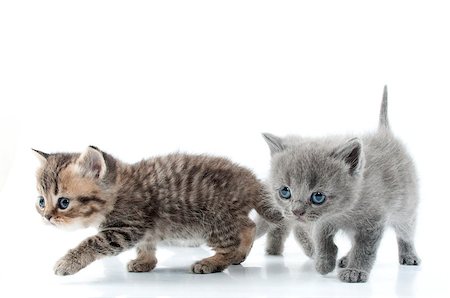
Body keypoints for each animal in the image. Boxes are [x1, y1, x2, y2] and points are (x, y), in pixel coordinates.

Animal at [33, 148, 284, 274]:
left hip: (215, 220)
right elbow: (146, 244)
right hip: (229, 216)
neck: (118, 189)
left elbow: (93, 242)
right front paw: (145, 261)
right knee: (249, 225)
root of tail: (251, 180)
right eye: (41, 201)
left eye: (63, 202)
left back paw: (214, 262)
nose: (47, 217)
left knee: (230, 243)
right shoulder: (144, 229)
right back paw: (240, 253)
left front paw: (67, 263)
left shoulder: (127, 227)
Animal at [258, 86, 420, 284]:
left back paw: (408, 255)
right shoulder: (321, 222)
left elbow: (364, 248)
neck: (343, 212)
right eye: (285, 192)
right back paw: (344, 258)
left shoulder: (373, 223)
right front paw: (324, 262)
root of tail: (384, 133)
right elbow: (323, 239)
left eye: (318, 196)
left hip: (406, 208)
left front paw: (355, 271)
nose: (296, 212)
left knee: (406, 233)